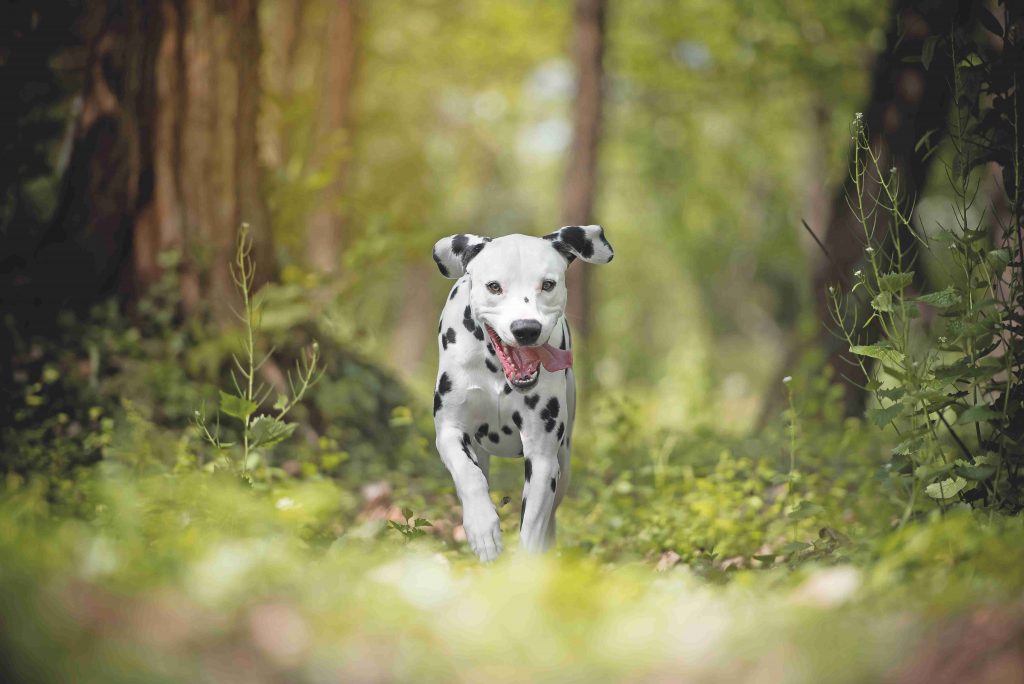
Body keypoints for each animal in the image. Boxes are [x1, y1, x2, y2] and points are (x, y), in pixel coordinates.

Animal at [430, 224, 610, 561]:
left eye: (548, 284)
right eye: (494, 286)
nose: (526, 328)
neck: (498, 375)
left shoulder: (542, 458)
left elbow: (533, 527)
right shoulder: (450, 430)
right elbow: (469, 476)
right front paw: (483, 529)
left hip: (564, 462)